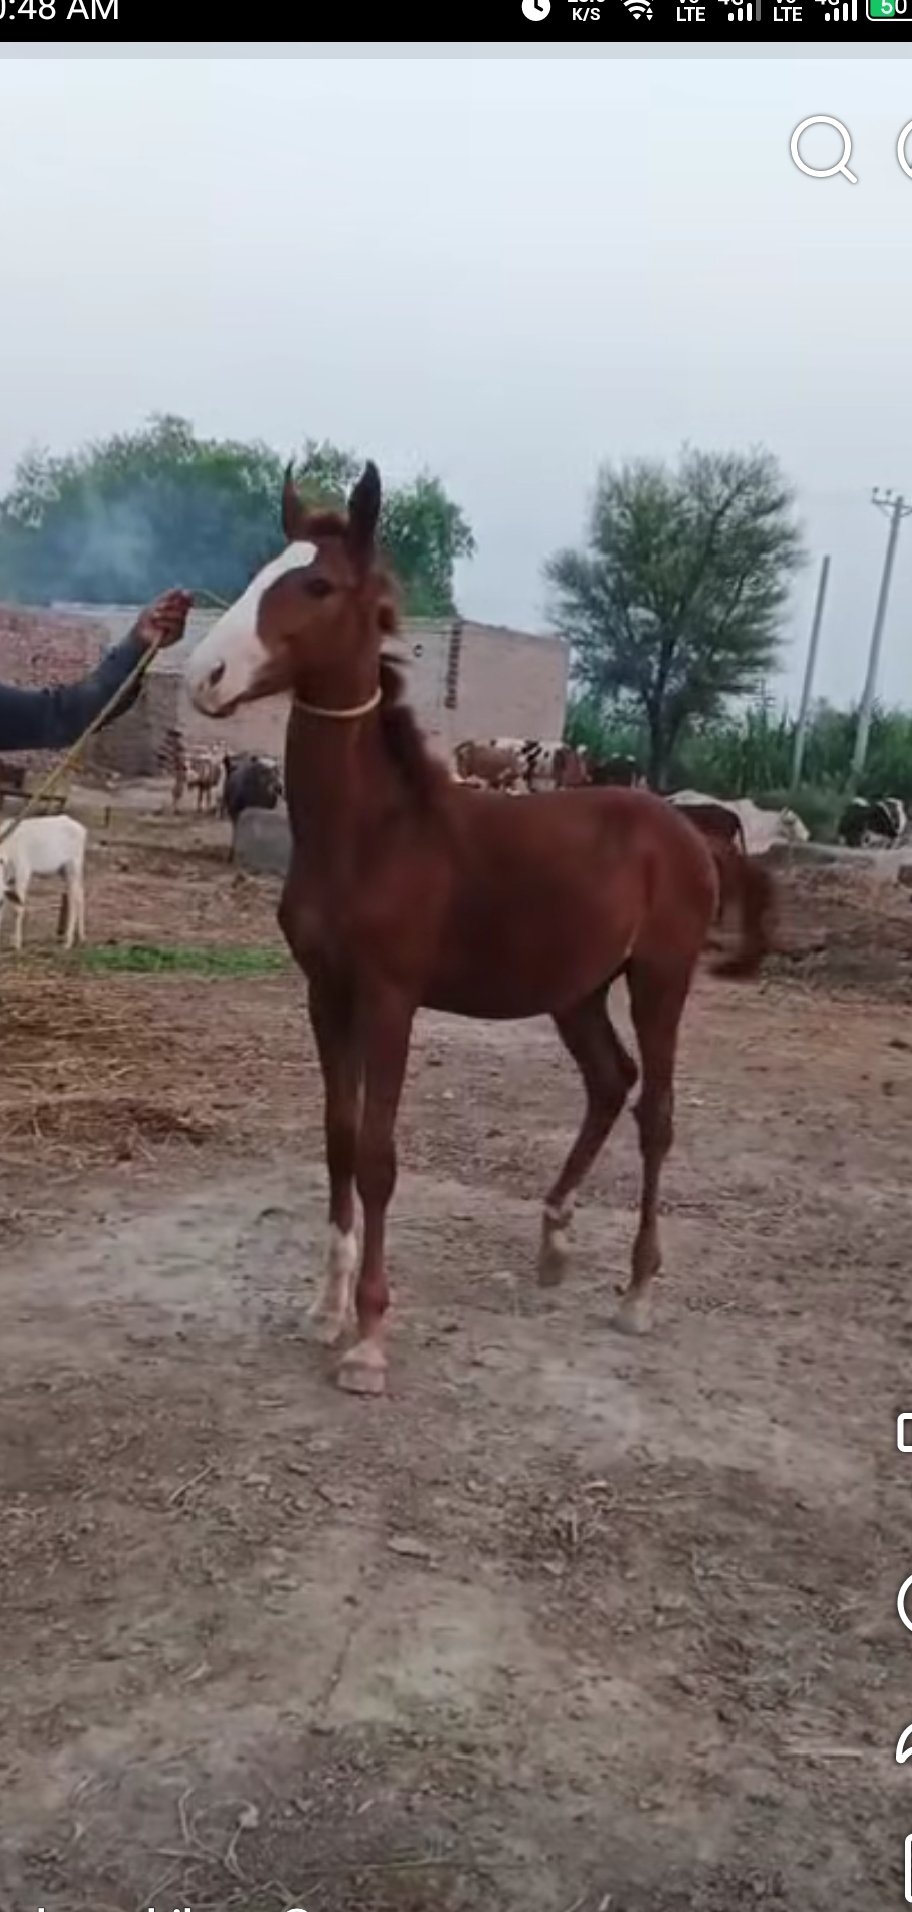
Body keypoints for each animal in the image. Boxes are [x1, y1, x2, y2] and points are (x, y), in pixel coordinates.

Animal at [185, 463, 772, 1399]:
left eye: (318, 585)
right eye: (262, 569)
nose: (205, 676)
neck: (373, 833)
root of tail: (689, 827)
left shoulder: (391, 998)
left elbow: (379, 1153)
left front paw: (369, 1340)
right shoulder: (325, 993)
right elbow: (338, 1138)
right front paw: (325, 1309)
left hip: (660, 978)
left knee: (656, 1111)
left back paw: (638, 1292)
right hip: (576, 991)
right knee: (610, 1081)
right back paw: (554, 1238)